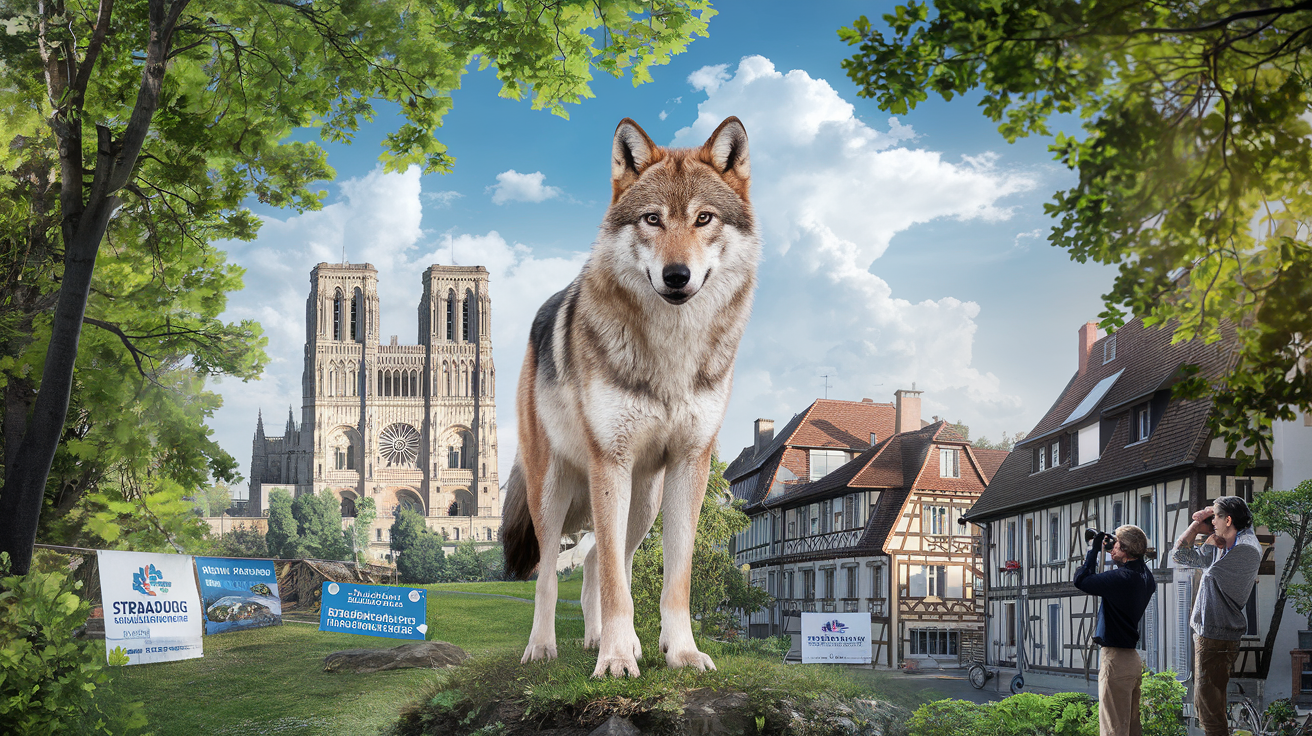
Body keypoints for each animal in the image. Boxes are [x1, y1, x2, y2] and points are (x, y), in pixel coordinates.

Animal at [500, 116, 759, 678]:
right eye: (652, 220)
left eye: (703, 218)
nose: (677, 275)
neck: (671, 351)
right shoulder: (609, 461)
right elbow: (615, 586)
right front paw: (617, 660)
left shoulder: (689, 466)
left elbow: (673, 579)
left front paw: (679, 652)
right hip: (554, 493)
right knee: (551, 574)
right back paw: (543, 648)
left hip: (644, 501)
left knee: (598, 560)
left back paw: (605, 639)